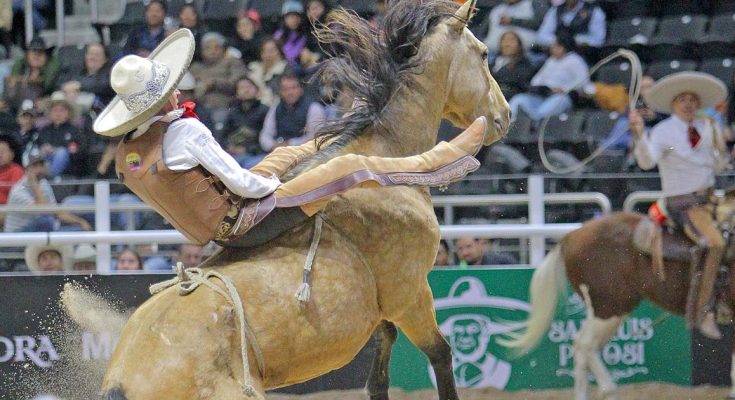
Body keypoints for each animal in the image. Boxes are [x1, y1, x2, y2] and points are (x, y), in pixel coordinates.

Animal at [98, 0, 512, 400]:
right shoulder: (409, 294)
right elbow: (440, 355)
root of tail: (121, 381)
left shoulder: (385, 309)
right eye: (483, 53)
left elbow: (380, 372)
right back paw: (458, 151)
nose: (505, 115)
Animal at [504, 195, 735, 398]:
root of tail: (571, 236)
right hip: (609, 307)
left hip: (609, 310)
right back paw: (609, 389)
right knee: (585, 345)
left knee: (583, 349)